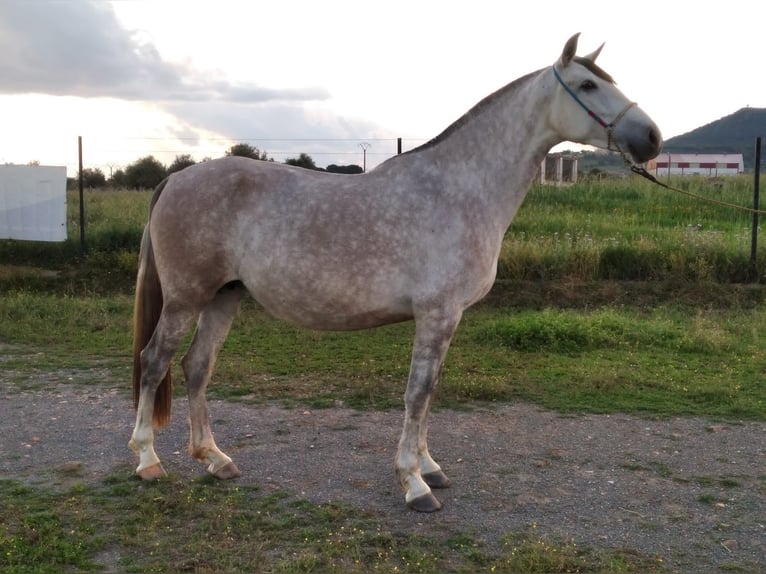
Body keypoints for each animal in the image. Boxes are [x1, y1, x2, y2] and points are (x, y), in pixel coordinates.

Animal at [129, 33, 664, 516]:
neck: (459, 190)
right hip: (186, 298)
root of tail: (176, 177)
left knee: (197, 367)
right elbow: (417, 393)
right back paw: (148, 460)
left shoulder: (446, 319)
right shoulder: (437, 313)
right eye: (588, 85)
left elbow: (430, 393)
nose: (652, 139)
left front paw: (430, 468)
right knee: (154, 361)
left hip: (225, 295)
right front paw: (414, 484)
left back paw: (215, 459)